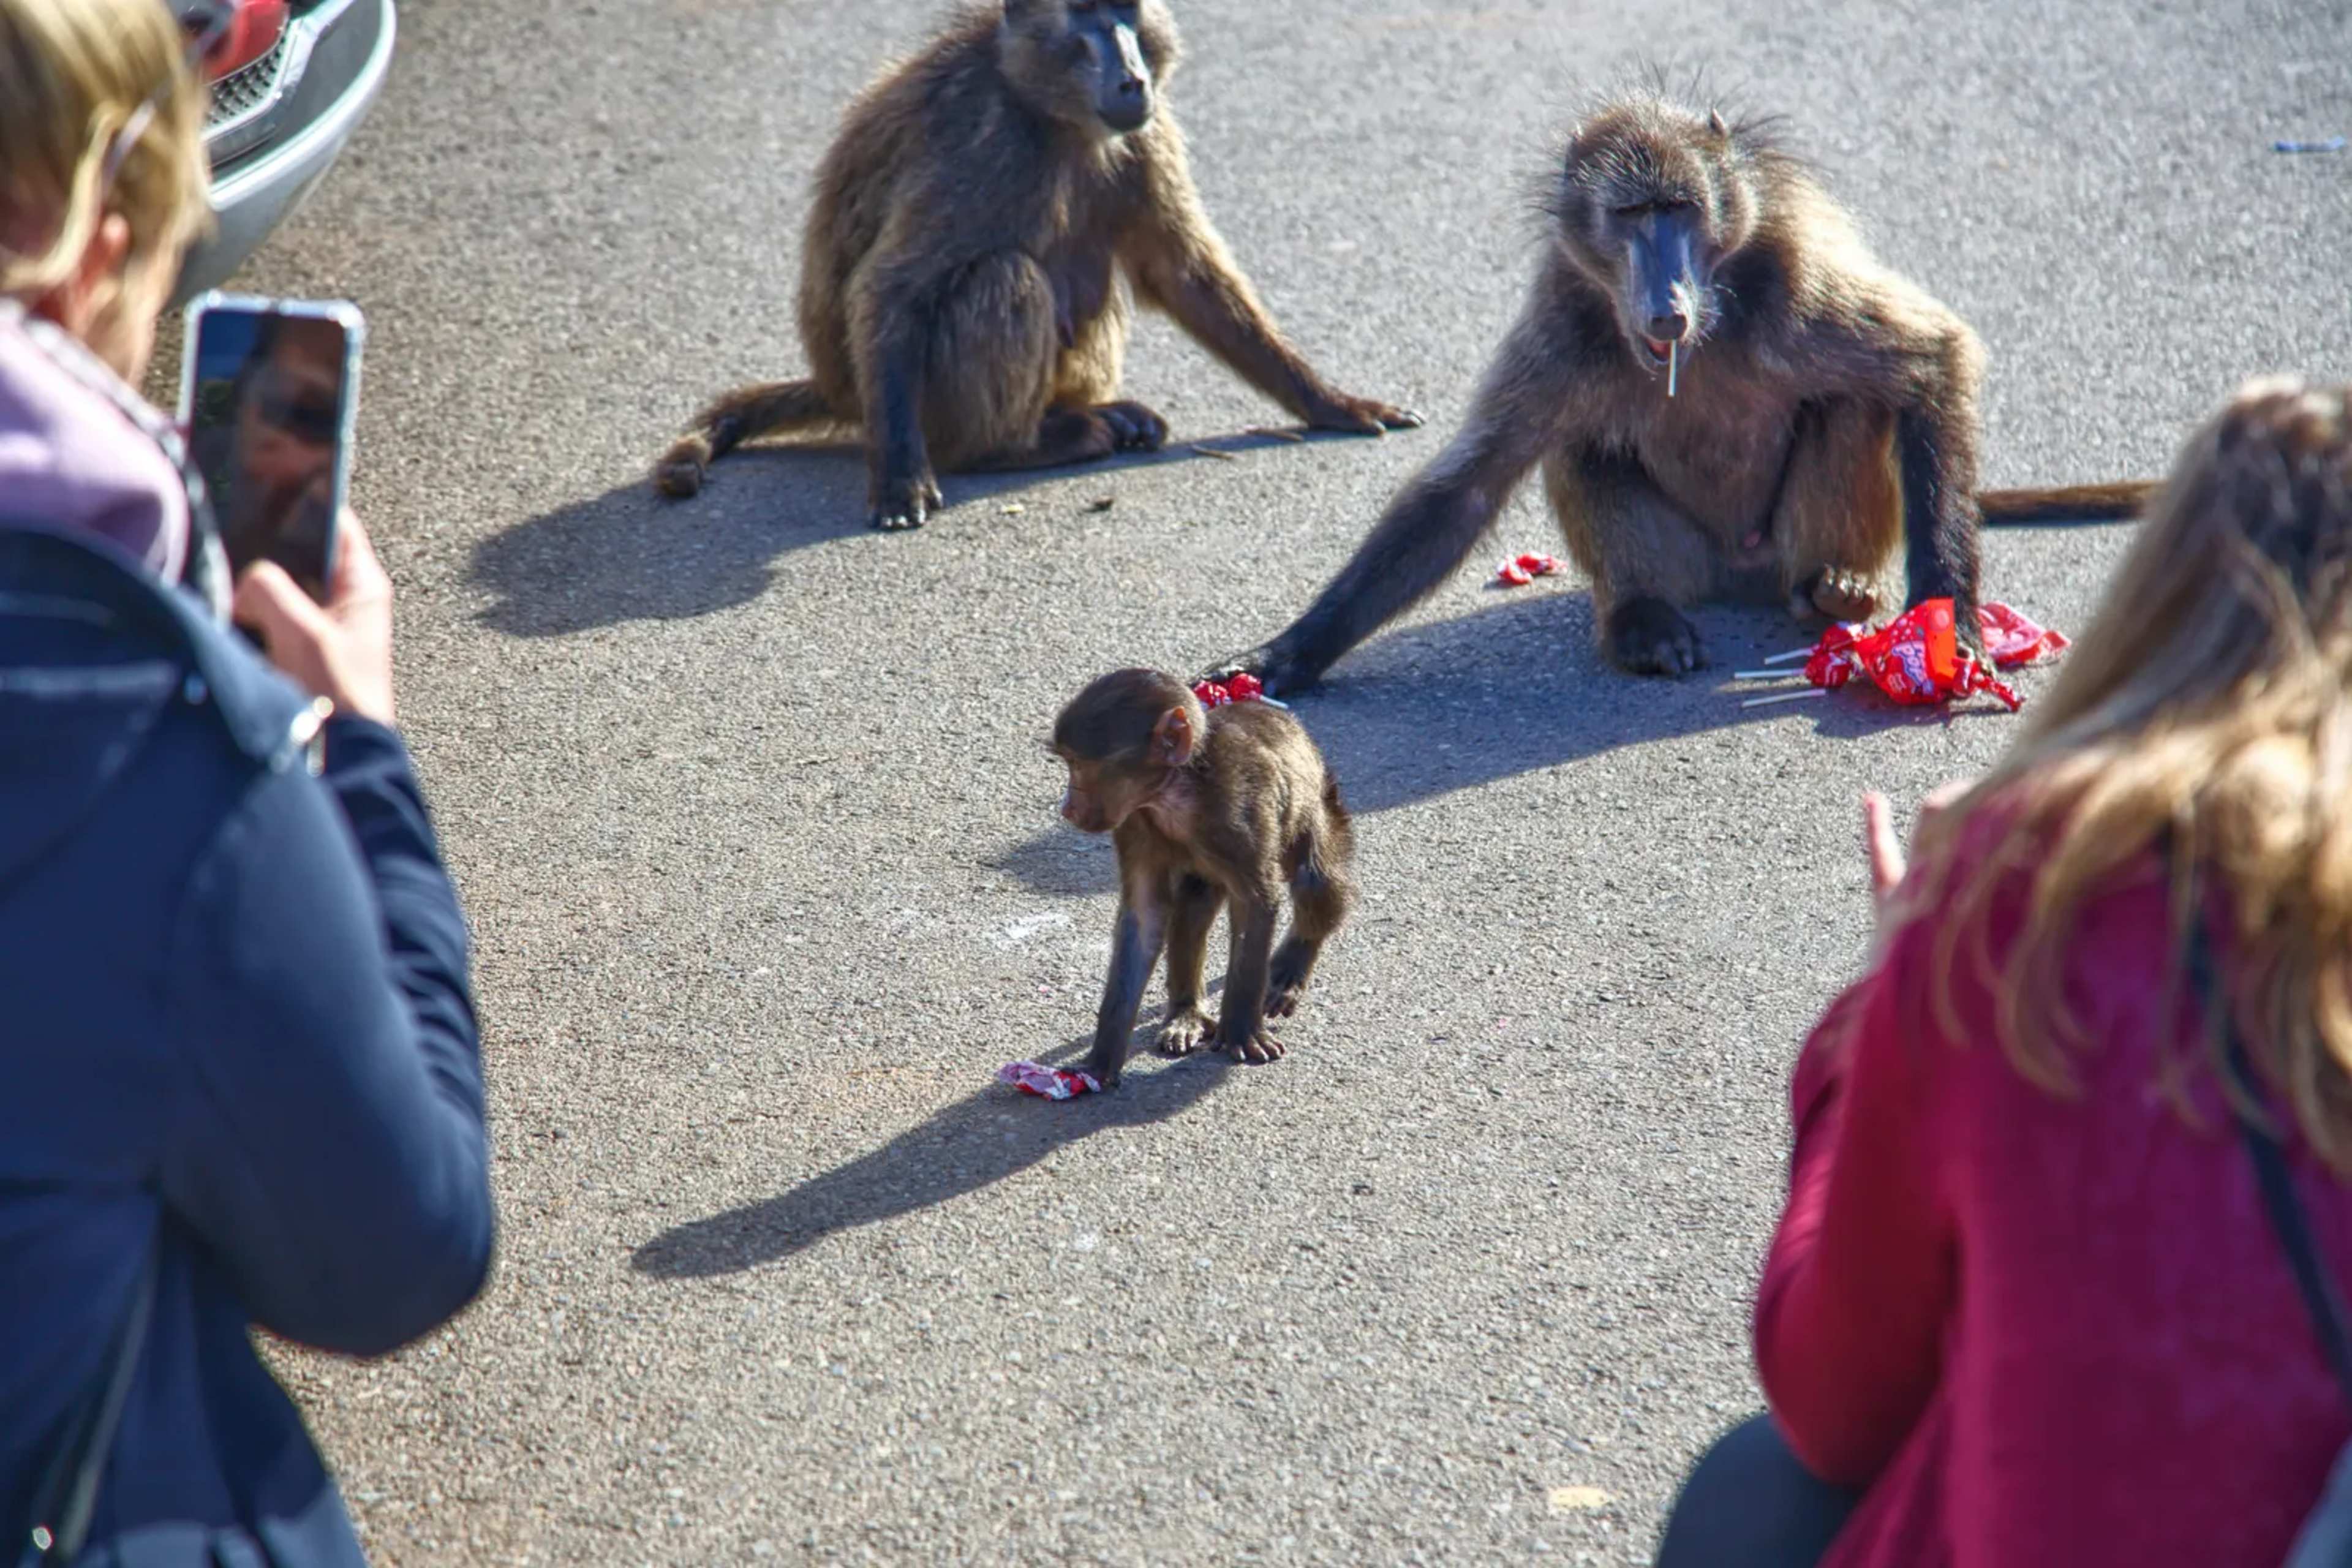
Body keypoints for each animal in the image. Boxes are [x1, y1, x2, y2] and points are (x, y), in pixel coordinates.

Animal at [653, 0, 1419, 529]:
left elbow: (1185, 273)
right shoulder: (975, 141)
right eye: (1085, 14)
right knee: (1006, 277)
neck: (1049, 109)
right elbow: (891, 286)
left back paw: (1099, 414)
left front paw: (1334, 404)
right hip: (935, 406)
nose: (1133, 79)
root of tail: (841, 391)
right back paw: (1026, 445)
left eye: (1128, 10)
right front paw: (899, 477)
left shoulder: (1147, 136)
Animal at [1050, 668, 1356, 1089]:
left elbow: (1256, 903)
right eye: (1069, 762)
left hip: (1322, 803)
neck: (1178, 794)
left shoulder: (1240, 809)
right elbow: (1145, 917)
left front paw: (1242, 1031)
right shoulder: (1134, 823)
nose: (1066, 807)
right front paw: (1101, 1060)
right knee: (1190, 907)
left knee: (1316, 882)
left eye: (1080, 765)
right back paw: (1186, 1014)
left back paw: (1290, 969)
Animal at [1207, 91, 2150, 693]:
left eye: (1680, 210)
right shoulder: (1560, 329)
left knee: (1857, 403)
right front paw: (1289, 654)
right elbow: (1467, 489)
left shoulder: (1796, 293)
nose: (1667, 307)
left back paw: (1837, 591)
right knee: (1584, 444)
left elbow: (1931, 358)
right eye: (1631, 219)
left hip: (1794, 538)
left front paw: (1950, 623)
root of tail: (1740, 573)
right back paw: (1643, 619)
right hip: (1683, 555)